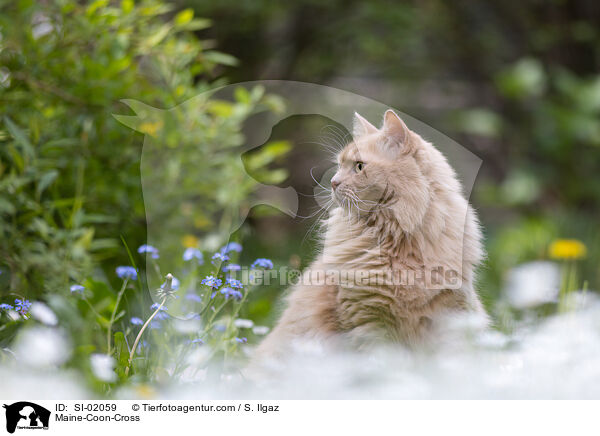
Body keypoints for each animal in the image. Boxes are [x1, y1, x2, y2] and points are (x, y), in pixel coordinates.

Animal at [253, 110, 488, 362]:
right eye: (339, 165)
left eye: (358, 167)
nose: (333, 182)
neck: (395, 240)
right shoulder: (368, 322)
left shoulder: (451, 315)